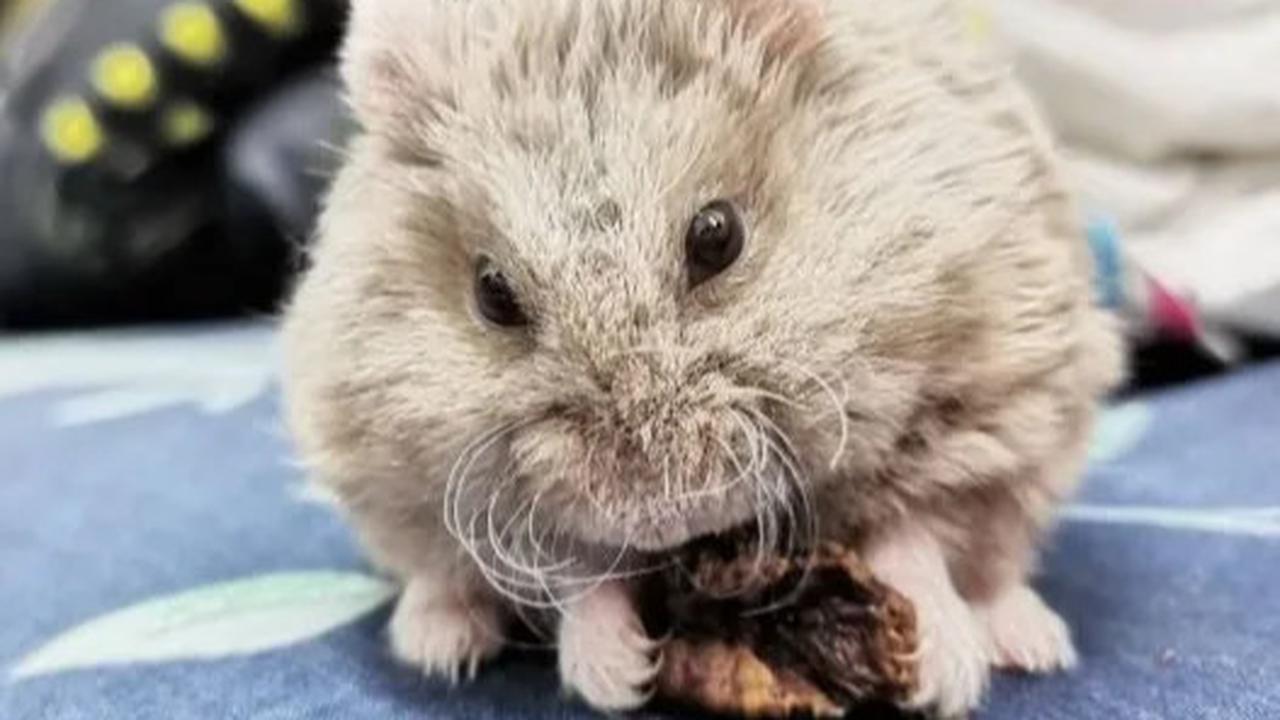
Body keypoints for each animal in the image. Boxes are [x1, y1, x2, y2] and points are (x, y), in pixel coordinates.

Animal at [281, 0, 1124, 716]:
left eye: (717, 236)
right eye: (492, 293)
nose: (658, 517)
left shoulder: (977, 414)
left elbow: (916, 537)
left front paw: (941, 678)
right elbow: (580, 571)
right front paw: (624, 675)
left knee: (993, 570)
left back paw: (1034, 643)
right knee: (440, 575)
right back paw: (438, 643)